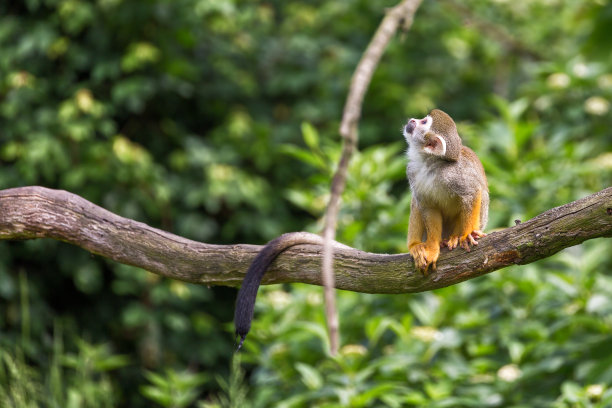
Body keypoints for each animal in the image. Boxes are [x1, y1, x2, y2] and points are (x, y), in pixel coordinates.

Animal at [404, 108, 490, 274]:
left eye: (423, 121)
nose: (412, 121)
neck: (429, 163)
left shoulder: (453, 173)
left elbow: (473, 192)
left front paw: (467, 234)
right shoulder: (411, 170)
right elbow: (428, 206)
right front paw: (432, 248)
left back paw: (456, 236)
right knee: (417, 201)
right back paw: (416, 245)